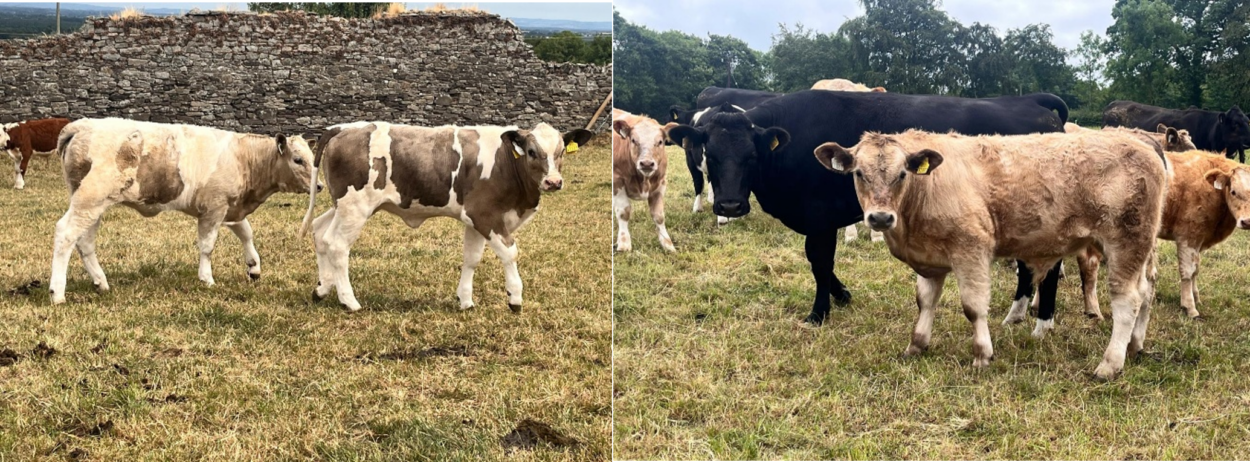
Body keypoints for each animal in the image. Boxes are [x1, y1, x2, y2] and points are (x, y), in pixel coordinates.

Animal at [49, 118, 319, 304]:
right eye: (298, 160)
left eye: (312, 157)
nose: (319, 186)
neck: (242, 157)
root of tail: (80, 125)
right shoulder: (214, 207)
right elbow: (207, 246)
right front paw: (207, 278)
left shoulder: (230, 207)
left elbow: (246, 232)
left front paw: (254, 267)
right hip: (90, 198)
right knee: (66, 233)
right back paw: (57, 293)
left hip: (92, 204)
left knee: (84, 241)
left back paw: (100, 282)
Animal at [300, 121, 594, 312]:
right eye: (532, 152)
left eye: (561, 152)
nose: (554, 182)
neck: (506, 163)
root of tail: (342, 127)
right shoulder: (485, 215)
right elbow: (510, 253)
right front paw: (515, 299)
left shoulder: (475, 220)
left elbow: (471, 258)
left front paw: (465, 301)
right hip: (355, 207)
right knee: (337, 245)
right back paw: (349, 301)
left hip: (342, 206)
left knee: (320, 232)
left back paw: (322, 288)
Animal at [613, 110, 675, 253]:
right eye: (633, 140)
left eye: (660, 141)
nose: (646, 163)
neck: (643, 180)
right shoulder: (617, 180)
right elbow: (623, 212)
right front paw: (624, 243)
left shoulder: (661, 183)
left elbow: (659, 216)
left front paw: (667, 244)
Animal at [665, 90, 1070, 326]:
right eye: (710, 154)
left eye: (751, 156)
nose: (730, 205)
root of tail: (1030, 102)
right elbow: (819, 262)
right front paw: (841, 296)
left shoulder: (819, 216)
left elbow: (819, 261)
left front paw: (819, 312)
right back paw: (1017, 315)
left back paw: (1040, 321)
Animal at [813, 129, 1169, 380]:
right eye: (859, 173)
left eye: (902, 174)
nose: (880, 218)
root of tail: (1140, 140)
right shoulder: (930, 261)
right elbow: (925, 302)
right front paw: (917, 344)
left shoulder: (970, 249)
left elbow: (973, 307)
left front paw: (982, 354)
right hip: (1142, 250)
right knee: (1146, 292)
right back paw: (1134, 346)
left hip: (1126, 243)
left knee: (1127, 302)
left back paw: (1110, 364)